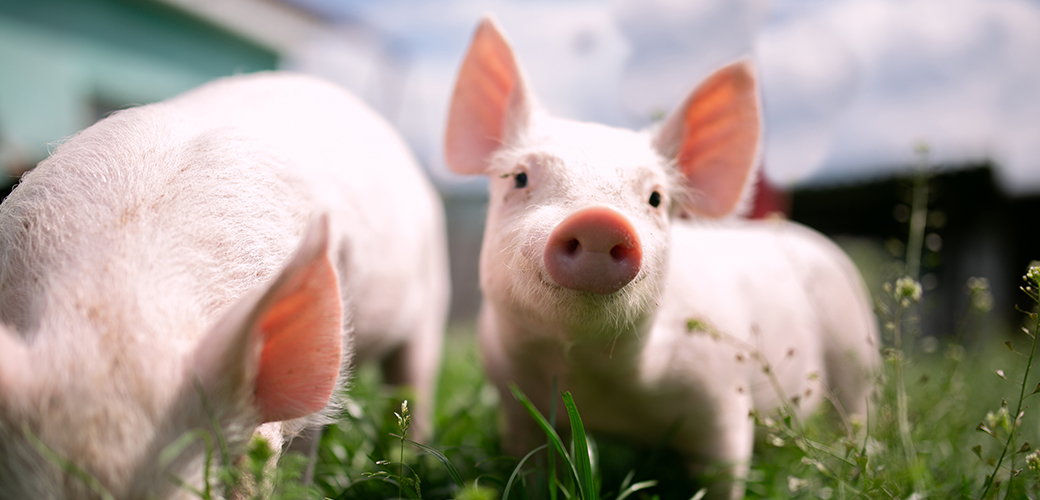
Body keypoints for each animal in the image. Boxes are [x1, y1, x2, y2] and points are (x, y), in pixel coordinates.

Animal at [443, 17, 881, 496]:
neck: (595, 380)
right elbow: (534, 468)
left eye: (655, 198)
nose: (599, 220)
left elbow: (724, 472)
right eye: (520, 177)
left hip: (856, 346)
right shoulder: (516, 404)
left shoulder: (723, 400)